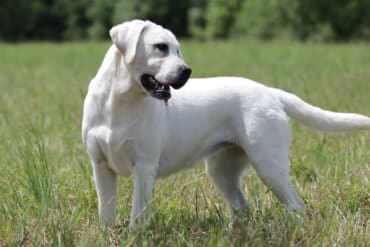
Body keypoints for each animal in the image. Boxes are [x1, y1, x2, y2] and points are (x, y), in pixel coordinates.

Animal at [83, 19, 370, 228]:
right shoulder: (101, 166)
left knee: (296, 205)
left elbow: (138, 215)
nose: (187, 71)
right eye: (160, 47)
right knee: (243, 208)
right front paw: (108, 234)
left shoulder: (144, 166)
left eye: (178, 50)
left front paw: (135, 235)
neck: (120, 102)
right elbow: (105, 211)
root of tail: (271, 91)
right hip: (222, 170)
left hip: (269, 166)